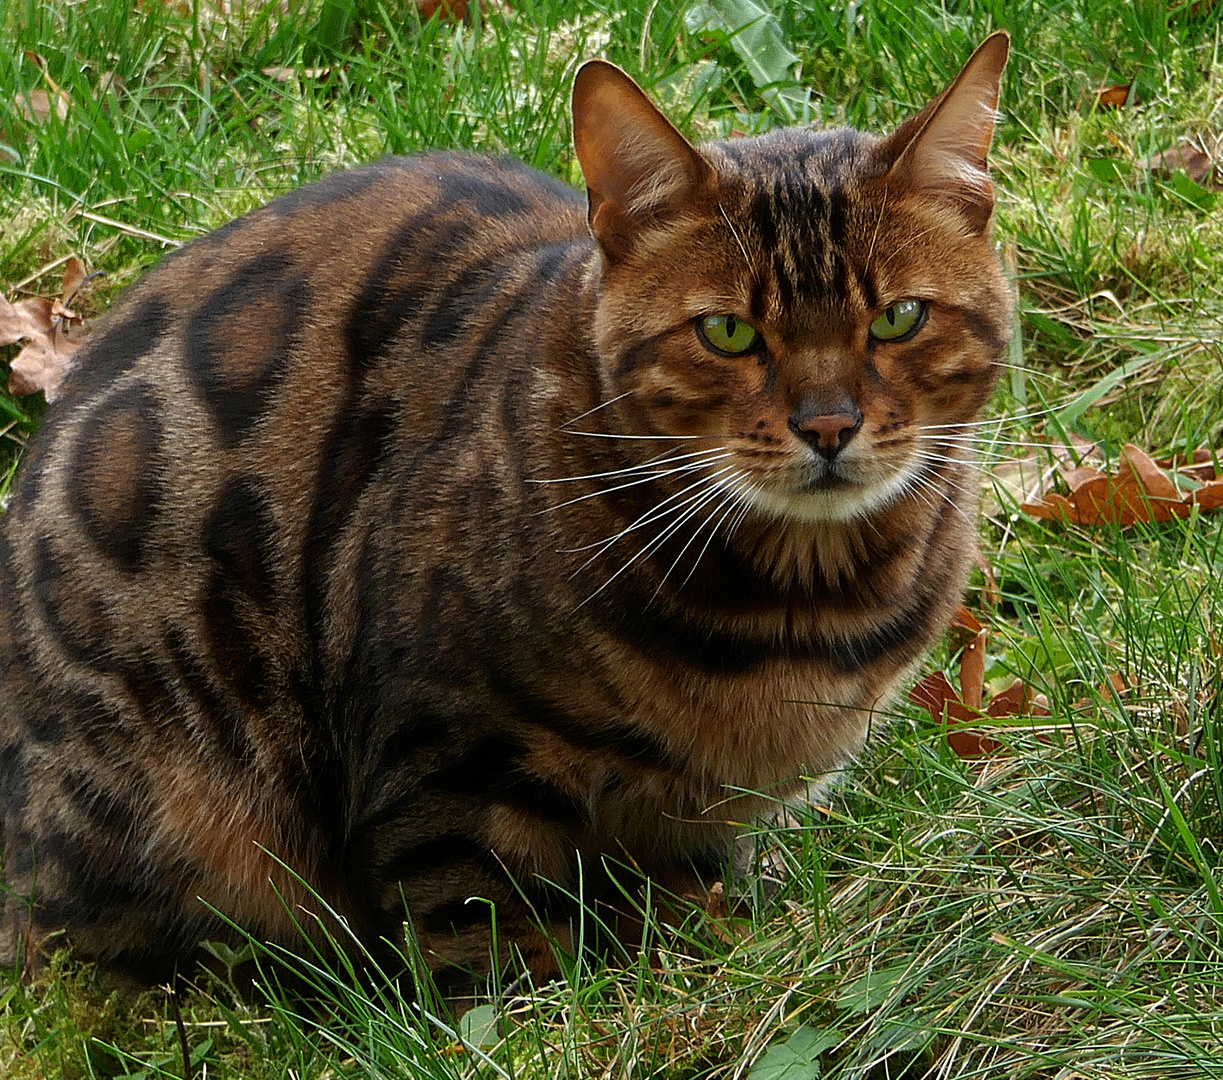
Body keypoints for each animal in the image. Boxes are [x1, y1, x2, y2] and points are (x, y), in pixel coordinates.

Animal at [0, 31, 1012, 998]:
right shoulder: (449, 759)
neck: (802, 610)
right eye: (727, 332)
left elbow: (690, 897)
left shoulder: (688, 822)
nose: (828, 425)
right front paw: (546, 1016)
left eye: (899, 318)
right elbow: (482, 953)